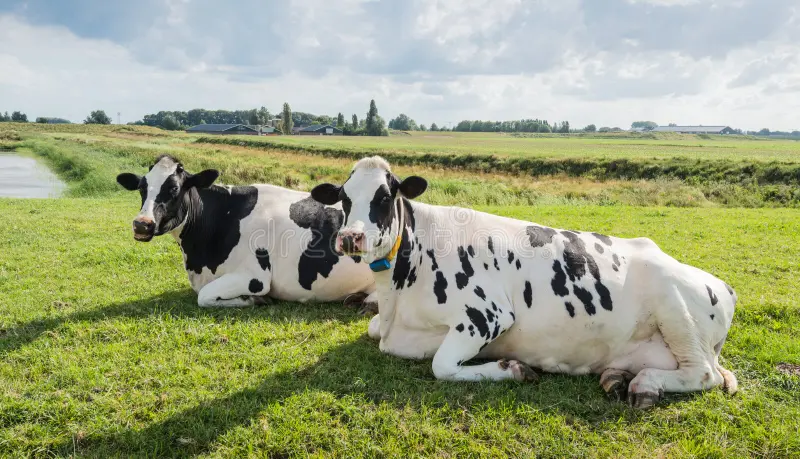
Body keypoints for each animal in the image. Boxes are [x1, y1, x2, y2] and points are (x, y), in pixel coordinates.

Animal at [114, 155, 376, 310]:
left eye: (174, 189)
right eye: (142, 188)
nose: (142, 224)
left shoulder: (254, 277)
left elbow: (204, 297)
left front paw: (254, 300)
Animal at [310, 156, 736, 408]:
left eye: (386, 195)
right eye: (344, 197)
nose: (351, 237)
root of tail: (723, 285)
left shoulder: (487, 314)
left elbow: (441, 365)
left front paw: (513, 369)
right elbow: (372, 328)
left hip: (677, 311)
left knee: (704, 373)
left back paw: (645, 383)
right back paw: (618, 377)